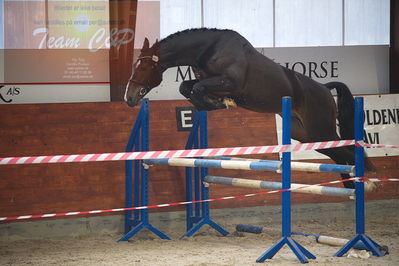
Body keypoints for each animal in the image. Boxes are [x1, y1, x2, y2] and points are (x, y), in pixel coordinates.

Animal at [125, 28, 378, 190]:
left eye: (144, 67)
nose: (129, 97)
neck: (209, 49)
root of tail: (325, 89)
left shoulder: (229, 82)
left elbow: (196, 88)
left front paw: (218, 103)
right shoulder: (208, 81)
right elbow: (187, 87)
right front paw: (214, 104)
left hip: (319, 129)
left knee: (348, 152)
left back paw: (362, 183)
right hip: (307, 135)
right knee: (340, 155)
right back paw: (348, 186)